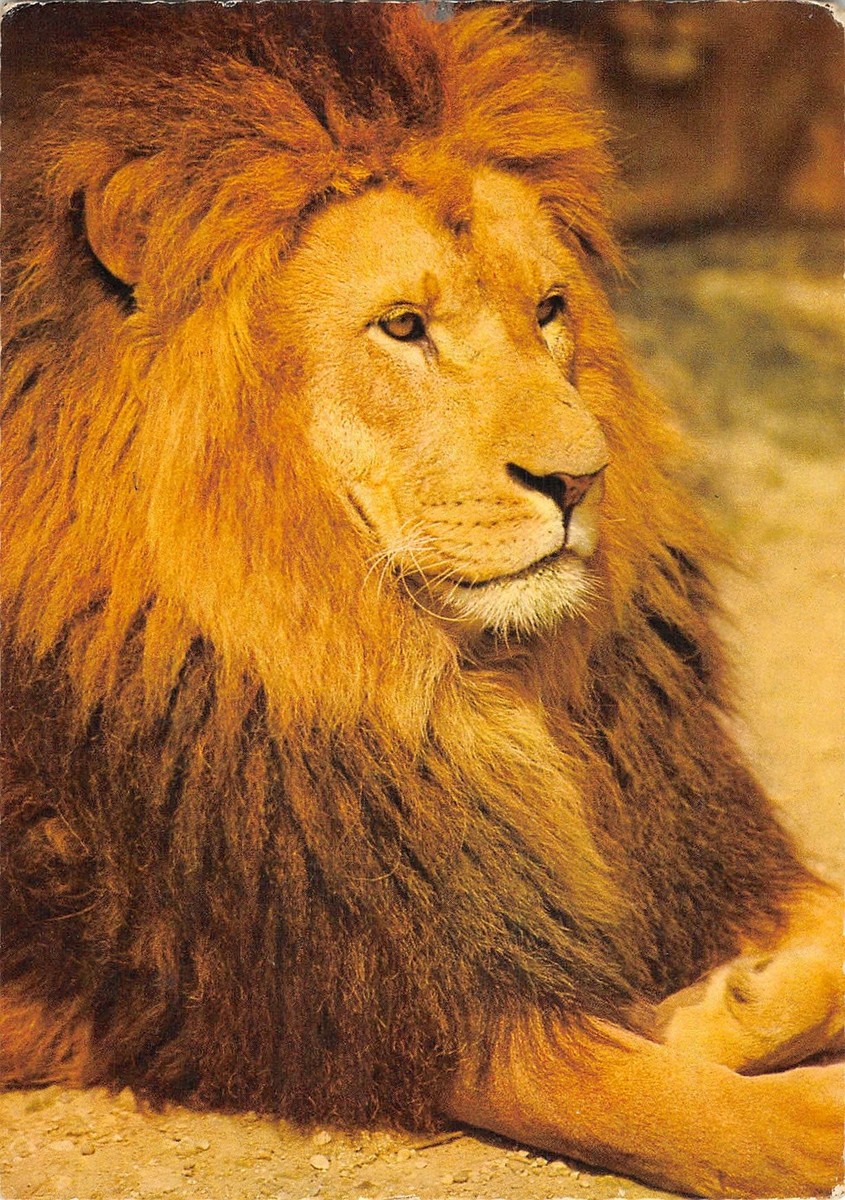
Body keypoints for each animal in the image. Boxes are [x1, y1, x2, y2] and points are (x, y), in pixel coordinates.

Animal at [2, 6, 842, 1196]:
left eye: (549, 311)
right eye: (402, 327)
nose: (578, 478)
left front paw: (721, 1001)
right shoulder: (365, 990)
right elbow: (714, 1120)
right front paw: (712, 1046)